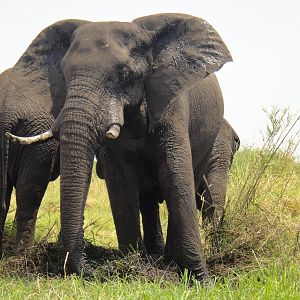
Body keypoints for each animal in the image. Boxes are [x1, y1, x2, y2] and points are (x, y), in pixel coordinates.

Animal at [6, 13, 232, 282]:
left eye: (124, 74)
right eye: (64, 75)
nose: (86, 270)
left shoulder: (171, 102)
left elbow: (174, 175)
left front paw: (200, 279)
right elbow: (121, 180)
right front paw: (138, 269)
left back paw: (168, 259)